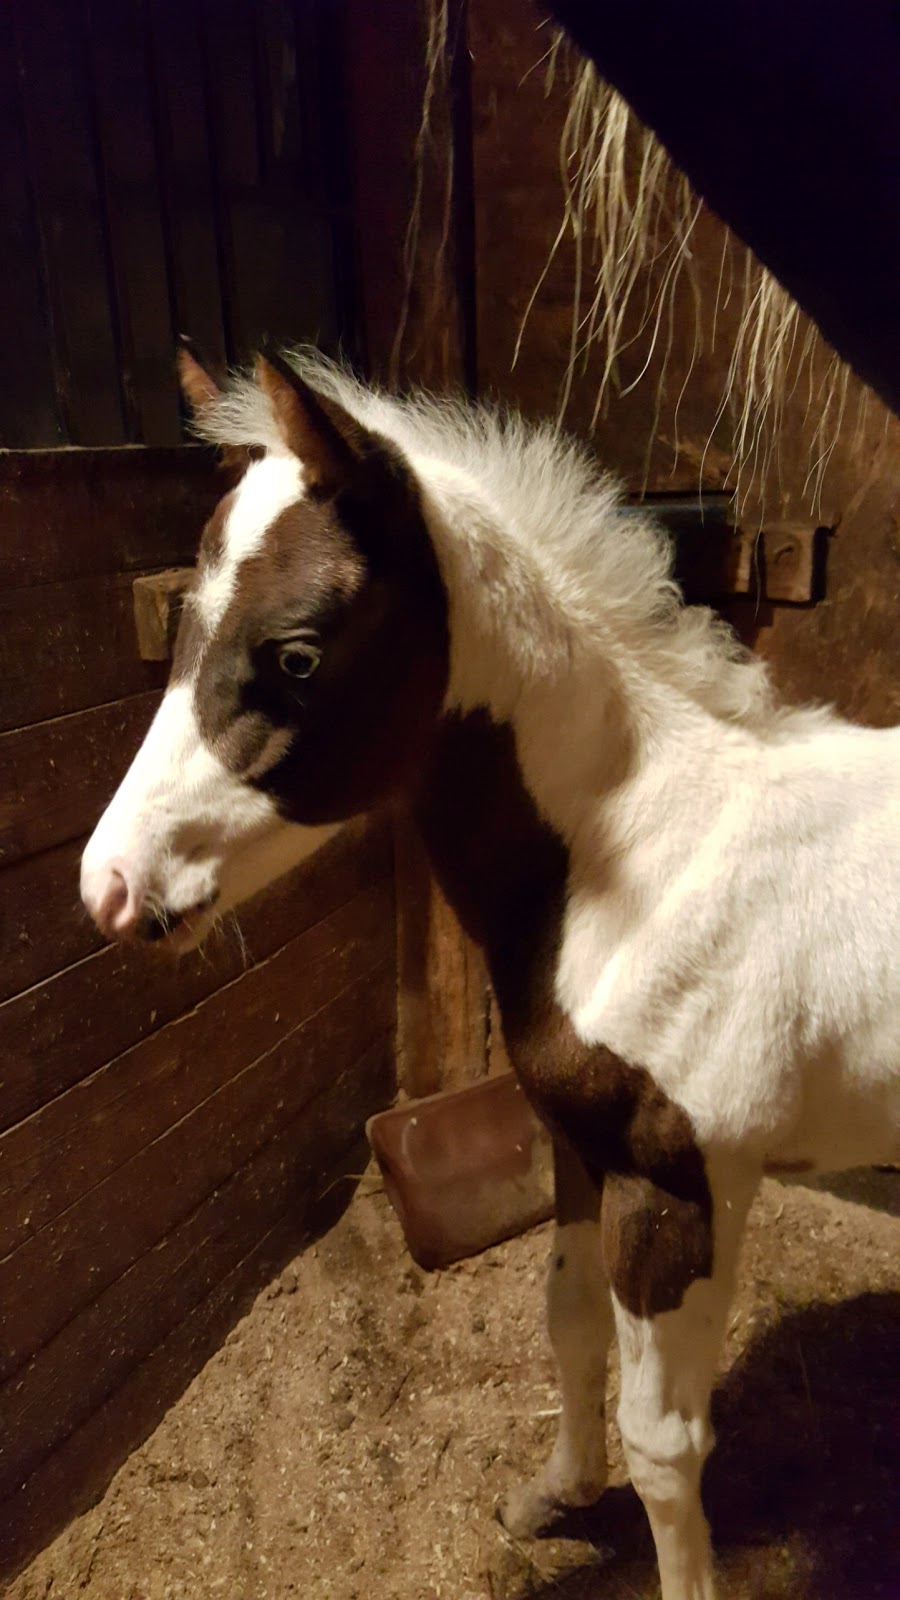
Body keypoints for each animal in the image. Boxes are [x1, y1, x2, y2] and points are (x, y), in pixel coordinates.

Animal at [81, 347, 899, 1600]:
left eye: (298, 651)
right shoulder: (576, 1141)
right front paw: (556, 1494)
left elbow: (669, 1445)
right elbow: (564, 1320)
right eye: (182, 623)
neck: (643, 860)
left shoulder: (682, 1181)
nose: (110, 888)